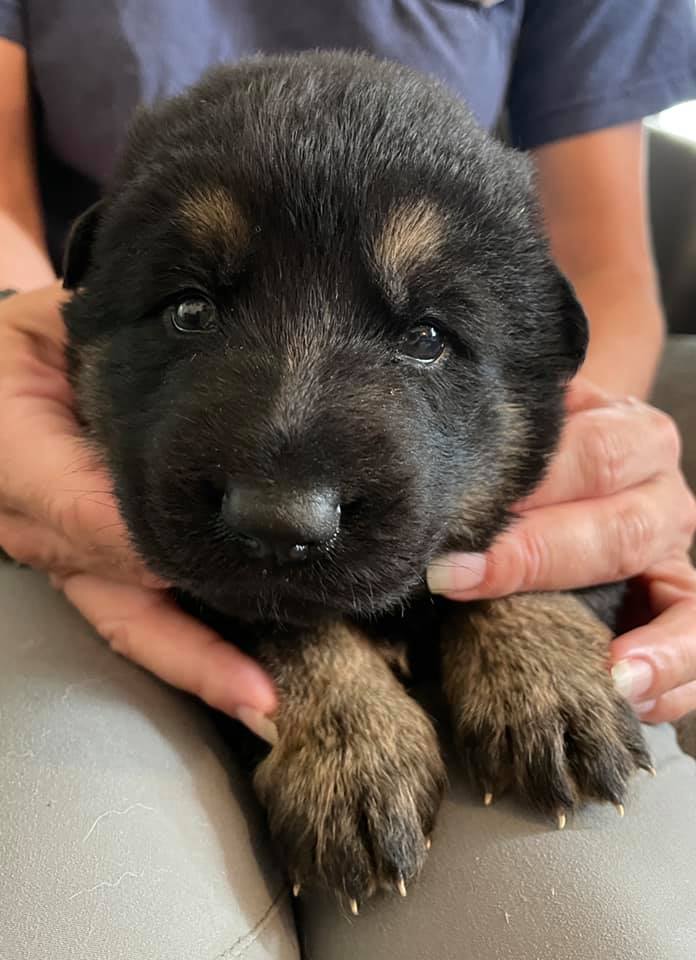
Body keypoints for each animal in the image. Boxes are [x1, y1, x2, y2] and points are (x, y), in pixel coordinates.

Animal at [61, 50, 652, 908]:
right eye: (190, 311)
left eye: (428, 338)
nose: (280, 521)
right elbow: (291, 623)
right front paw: (351, 754)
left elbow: (516, 546)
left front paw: (547, 682)